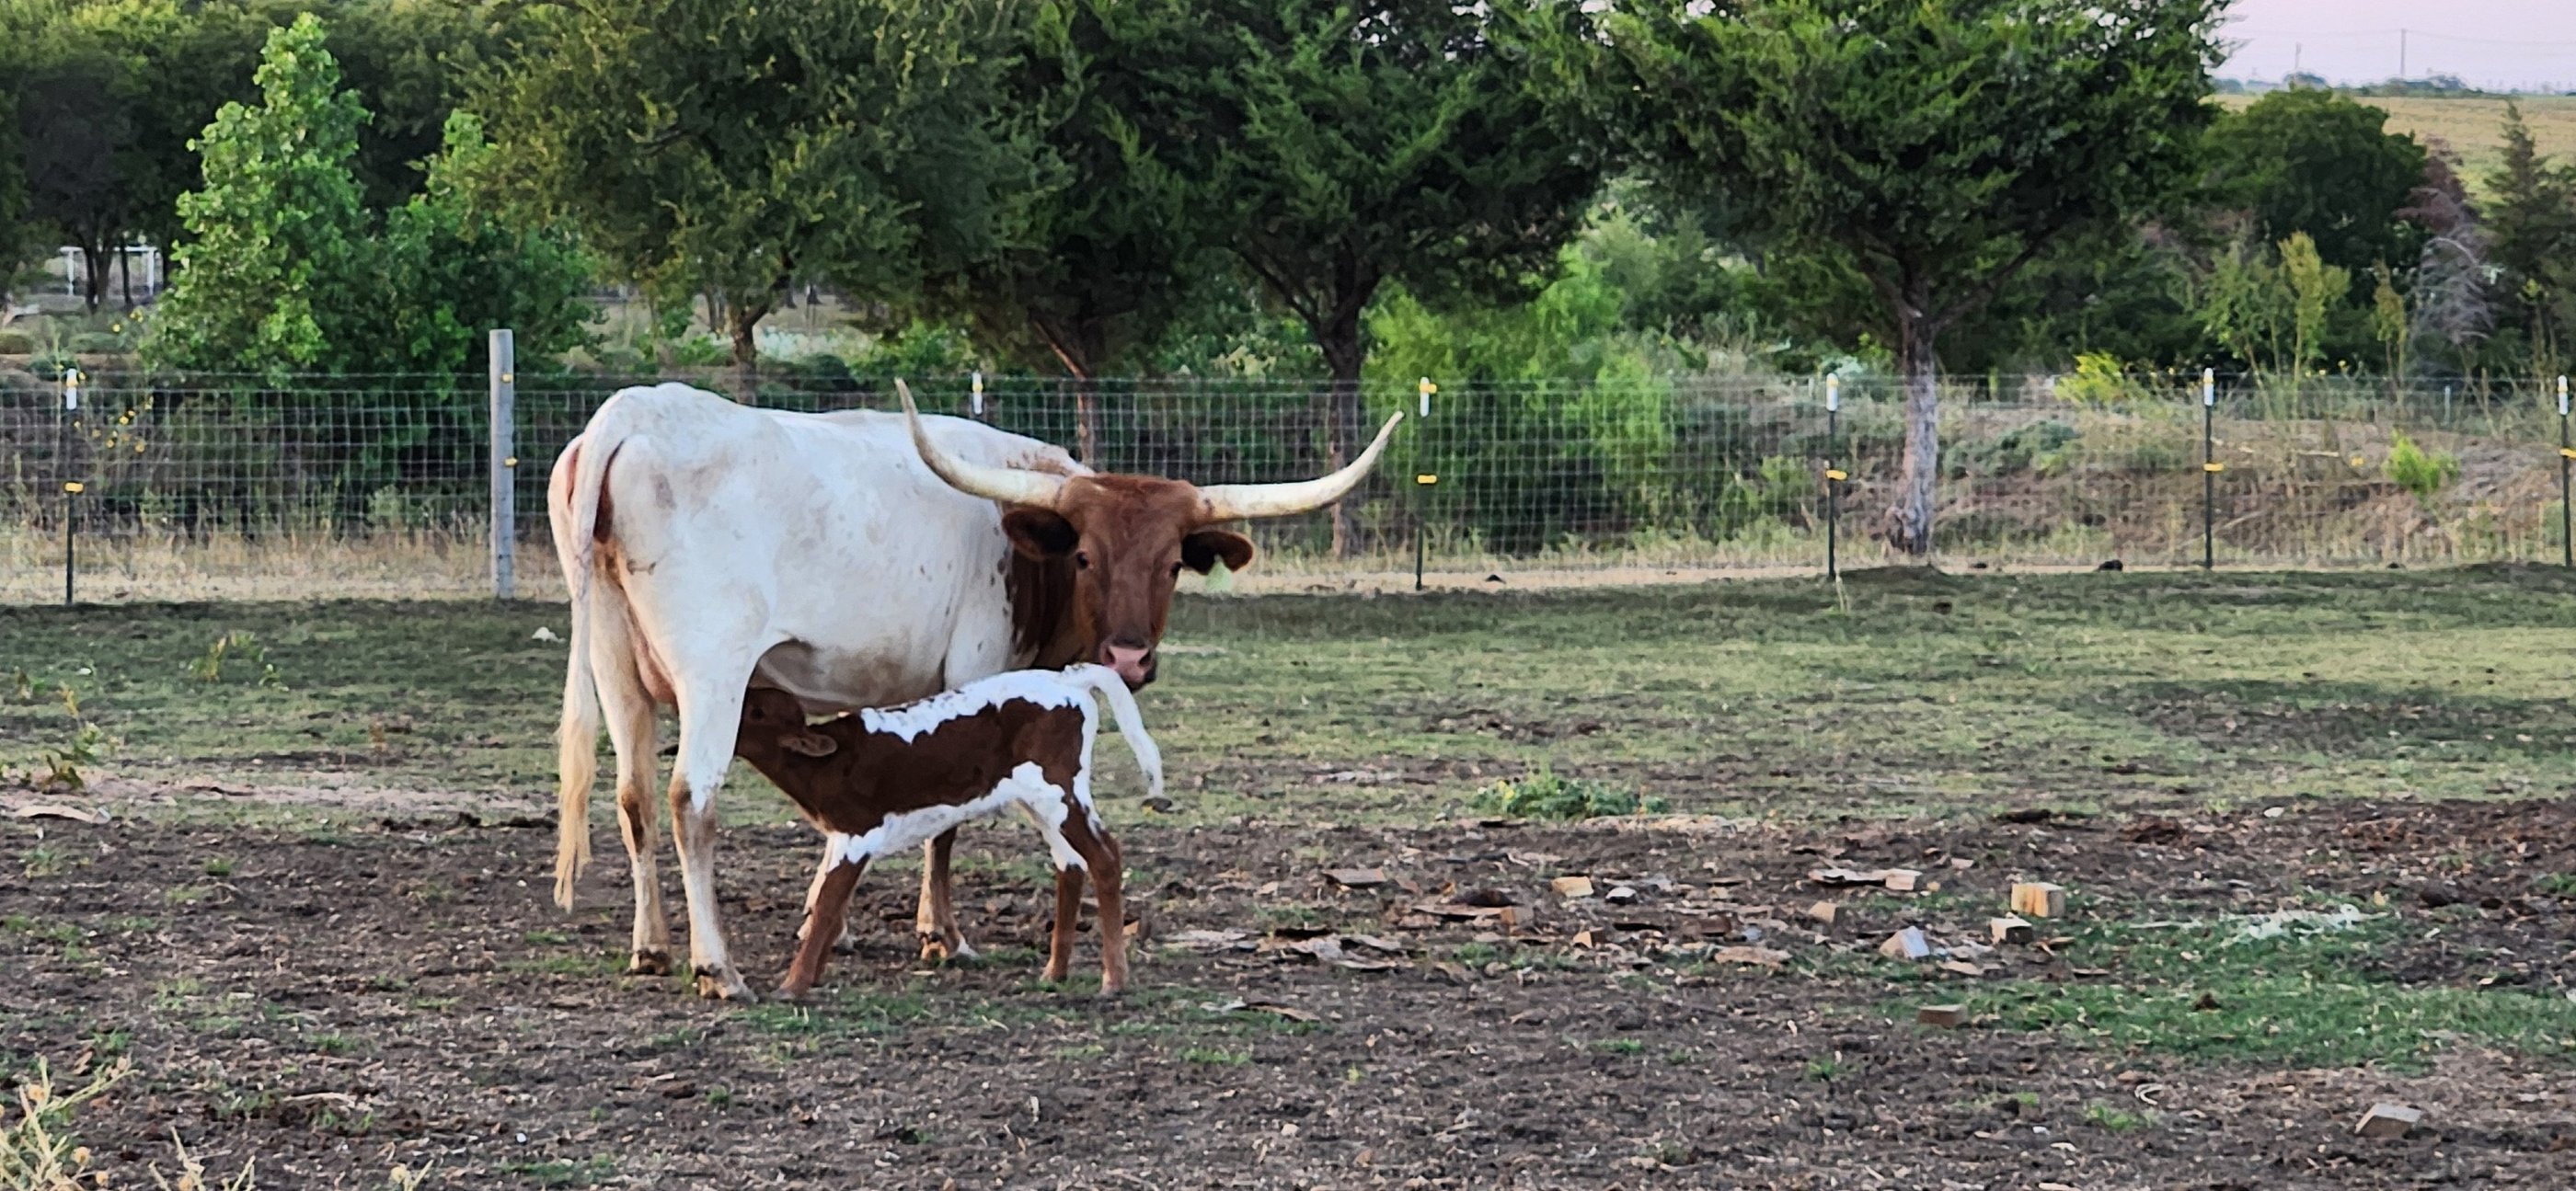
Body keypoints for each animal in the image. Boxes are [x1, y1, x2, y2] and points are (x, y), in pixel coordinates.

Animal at [549, 380, 1398, 999]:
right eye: (1085, 556)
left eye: (1171, 563)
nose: (1128, 656)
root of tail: (630, 412)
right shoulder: (972, 671)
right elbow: (949, 820)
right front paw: (941, 935)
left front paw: (829, 921)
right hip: (713, 672)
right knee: (690, 799)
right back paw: (716, 966)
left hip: (617, 667)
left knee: (633, 795)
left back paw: (652, 947)